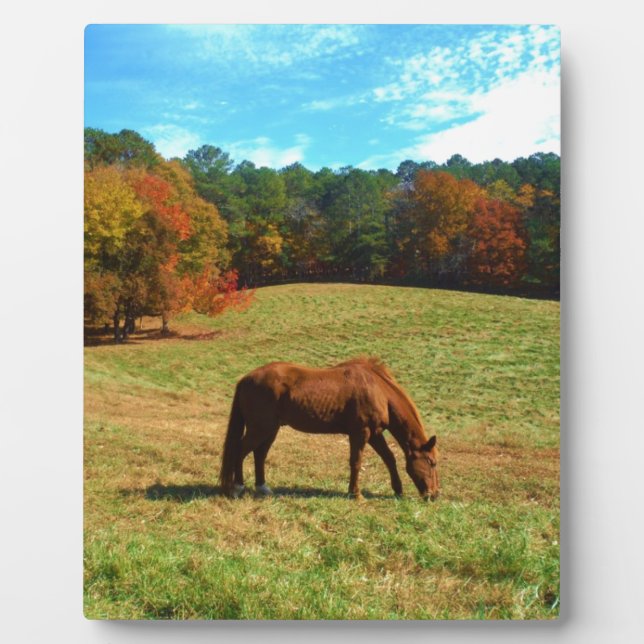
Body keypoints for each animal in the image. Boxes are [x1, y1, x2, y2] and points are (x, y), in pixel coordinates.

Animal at [219, 357, 440, 501]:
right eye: (432, 462)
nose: (435, 495)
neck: (379, 391)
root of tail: (246, 379)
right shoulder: (361, 433)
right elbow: (356, 462)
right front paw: (355, 493)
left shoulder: (375, 434)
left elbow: (389, 458)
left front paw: (398, 490)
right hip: (260, 429)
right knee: (240, 451)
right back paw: (237, 487)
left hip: (270, 430)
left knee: (259, 454)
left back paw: (262, 487)